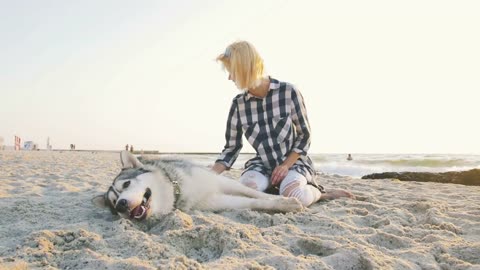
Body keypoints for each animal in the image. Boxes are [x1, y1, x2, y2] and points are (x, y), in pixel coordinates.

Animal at [93, 151, 304, 220]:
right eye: (113, 204)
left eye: (127, 184)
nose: (120, 204)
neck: (177, 189)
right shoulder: (216, 201)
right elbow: (252, 202)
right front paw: (284, 204)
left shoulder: (220, 181)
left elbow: (255, 194)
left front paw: (282, 199)